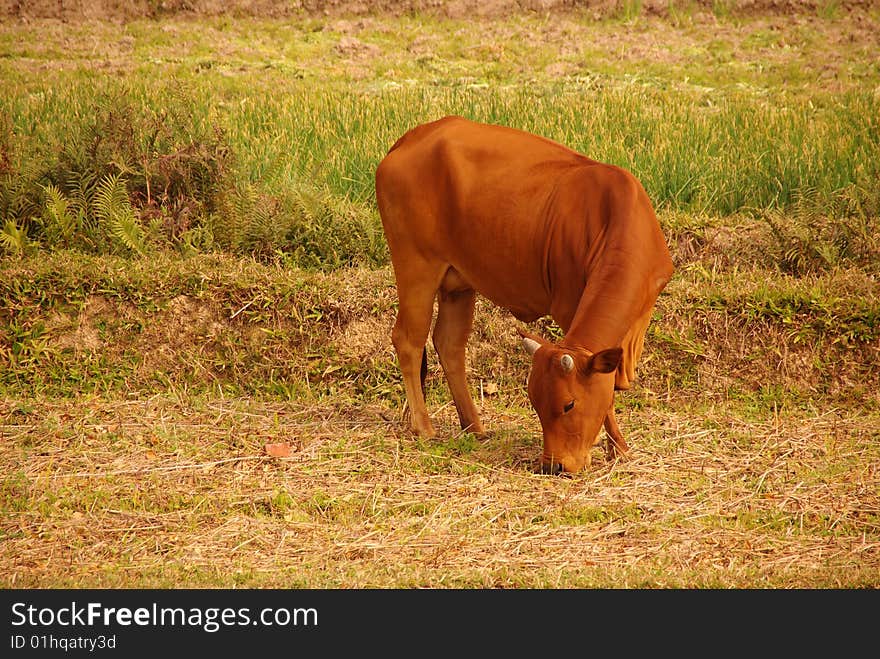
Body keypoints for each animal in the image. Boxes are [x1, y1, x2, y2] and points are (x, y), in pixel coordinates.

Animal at [372, 114, 672, 474]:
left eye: (569, 405)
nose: (554, 465)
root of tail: (411, 137)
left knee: (449, 343)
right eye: (535, 403)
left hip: (457, 282)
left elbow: (613, 380)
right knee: (408, 340)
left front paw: (619, 448)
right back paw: (424, 427)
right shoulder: (568, 305)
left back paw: (474, 425)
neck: (614, 219)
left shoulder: (639, 319)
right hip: (416, 264)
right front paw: (617, 445)